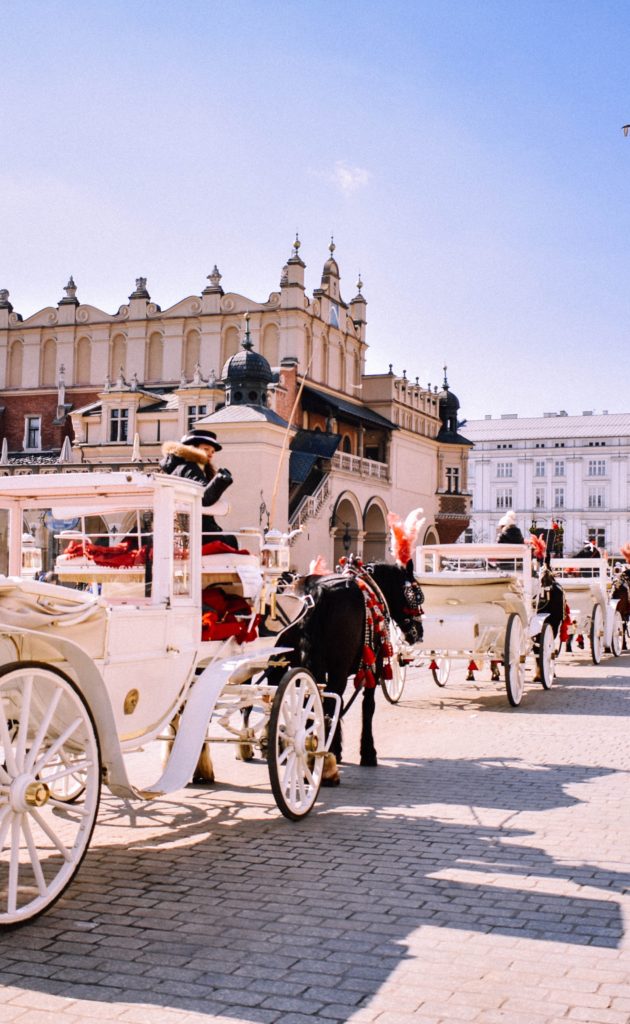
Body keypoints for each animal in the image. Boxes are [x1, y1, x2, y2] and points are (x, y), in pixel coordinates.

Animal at [276, 561, 422, 782]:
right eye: (416, 594)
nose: (419, 632)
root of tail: (315, 589)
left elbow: (338, 703)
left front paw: (337, 747)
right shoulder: (374, 667)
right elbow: (367, 706)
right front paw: (368, 752)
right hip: (338, 667)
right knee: (326, 705)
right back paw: (325, 763)